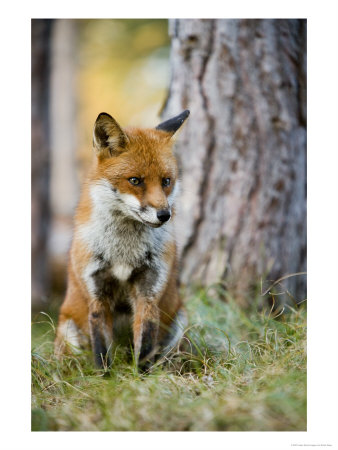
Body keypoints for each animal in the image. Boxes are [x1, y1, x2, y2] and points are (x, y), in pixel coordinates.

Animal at [54, 109, 189, 370]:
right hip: (68, 330)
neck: (124, 252)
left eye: (166, 181)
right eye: (135, 180)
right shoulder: (97, 293)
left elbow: (144, 347)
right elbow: (101, 352)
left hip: (178, 322)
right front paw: (105, 377)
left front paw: (141, 376)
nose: (164, 215)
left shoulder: (148, 292)